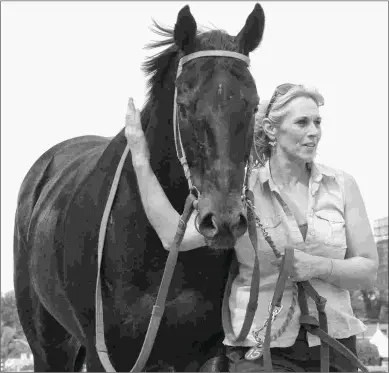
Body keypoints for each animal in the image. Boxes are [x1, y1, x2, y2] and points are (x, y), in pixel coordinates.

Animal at [13, 4, 266, 370]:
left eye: (253, 104)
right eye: (184, 105)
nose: (224, 221)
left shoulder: (205, 354)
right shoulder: (104, 353)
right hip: (49, 346)